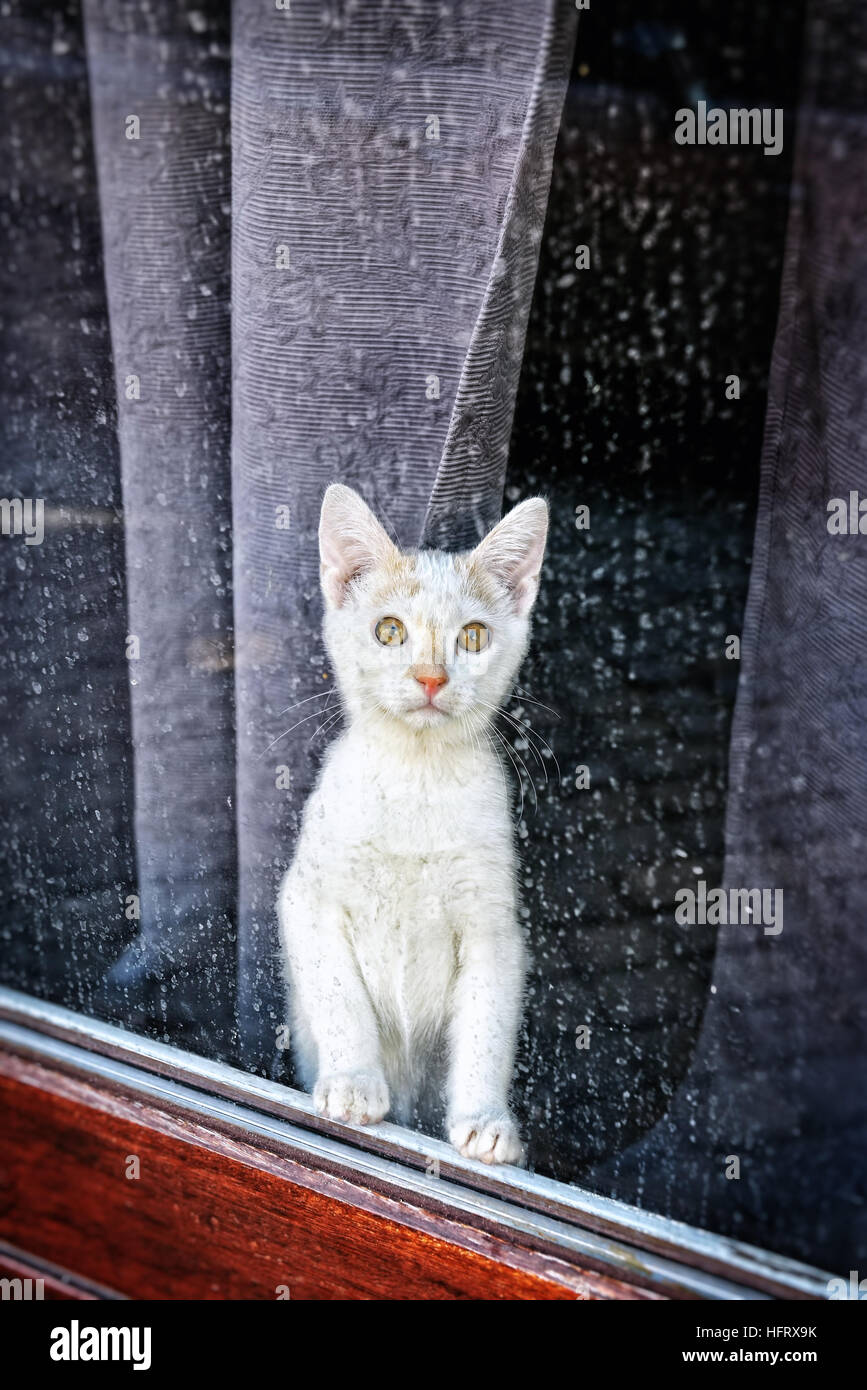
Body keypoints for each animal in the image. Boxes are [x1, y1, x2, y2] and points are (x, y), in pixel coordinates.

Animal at [277, 480, 547, 1162]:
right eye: (390, 630)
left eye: (472, 638)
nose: (431, 677)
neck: (417, 778)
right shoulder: (306, 900)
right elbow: (340, 997)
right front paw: (353, 1082)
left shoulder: (493, 928)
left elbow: (486, 1028)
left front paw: (484, 1118)